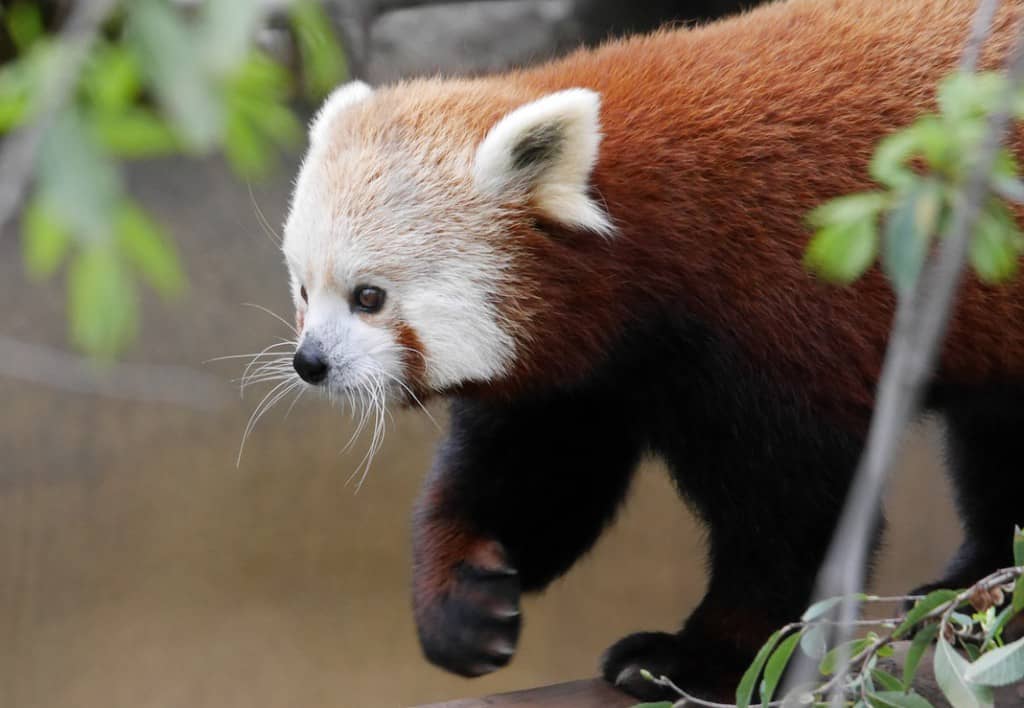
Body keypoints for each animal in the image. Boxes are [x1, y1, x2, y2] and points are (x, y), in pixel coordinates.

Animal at [280, 0, 1024, 700]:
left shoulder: (780, 311)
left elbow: (792, 511)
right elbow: (540, 472)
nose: (310, 363)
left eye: (369, 297)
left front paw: (701, 657)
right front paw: (462, 603)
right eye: (303, 289)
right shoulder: (593, 370)